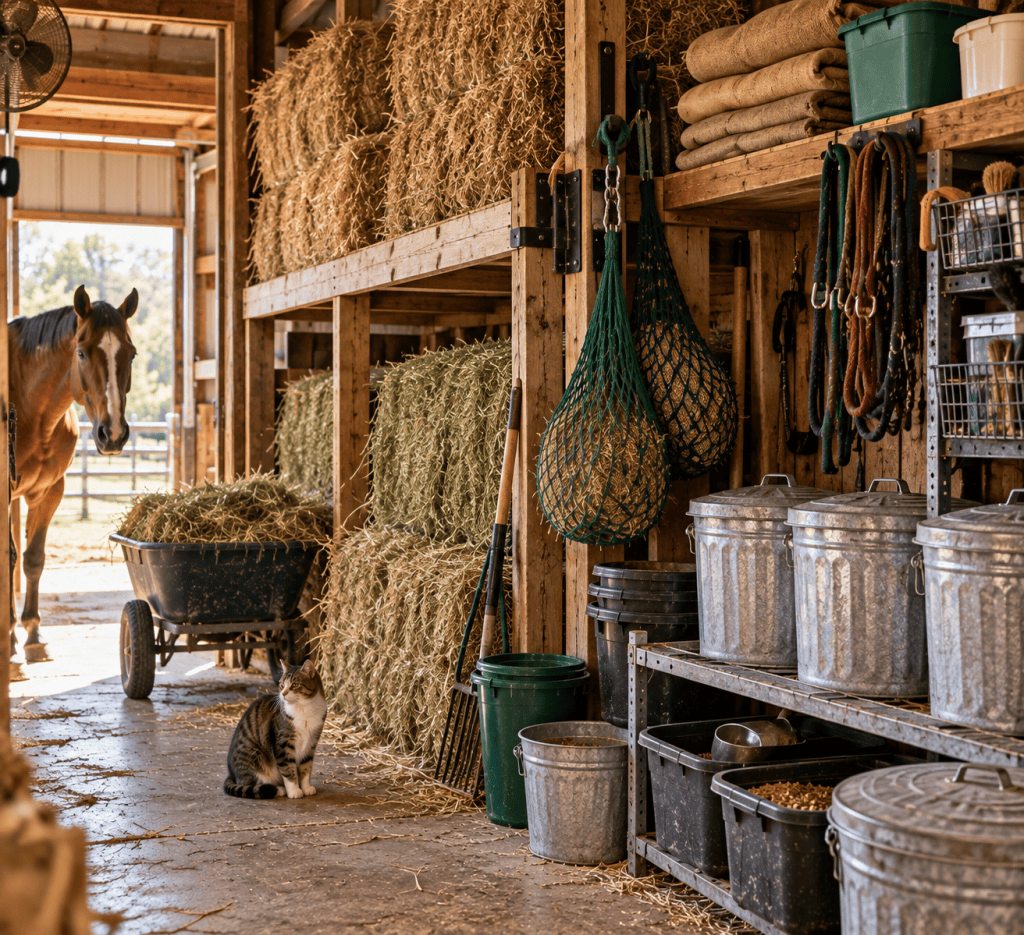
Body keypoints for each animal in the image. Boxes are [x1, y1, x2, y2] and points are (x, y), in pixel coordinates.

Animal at [8, 285, 138, 663]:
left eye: (131, 355)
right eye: (80, 352)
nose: (113, 434)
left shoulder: (50, 492)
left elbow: (33, 559)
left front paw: (33, 634)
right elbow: (9, 559)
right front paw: (9, 639)